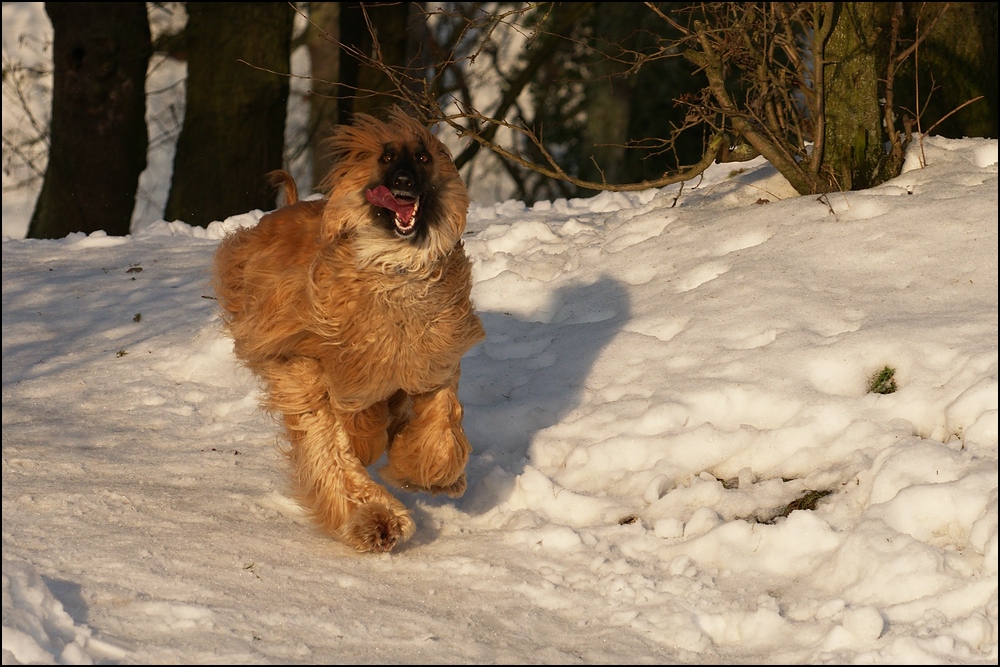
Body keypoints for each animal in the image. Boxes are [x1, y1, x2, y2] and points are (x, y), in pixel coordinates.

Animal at [213, 108, 486, 552]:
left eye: (424, 158)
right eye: (387, 157)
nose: (404, 184)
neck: (395, 271)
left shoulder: (432, 361)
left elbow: (442, 422)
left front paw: (431, 474)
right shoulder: (307, 365)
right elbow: (334, 445)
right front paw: (376, 517)